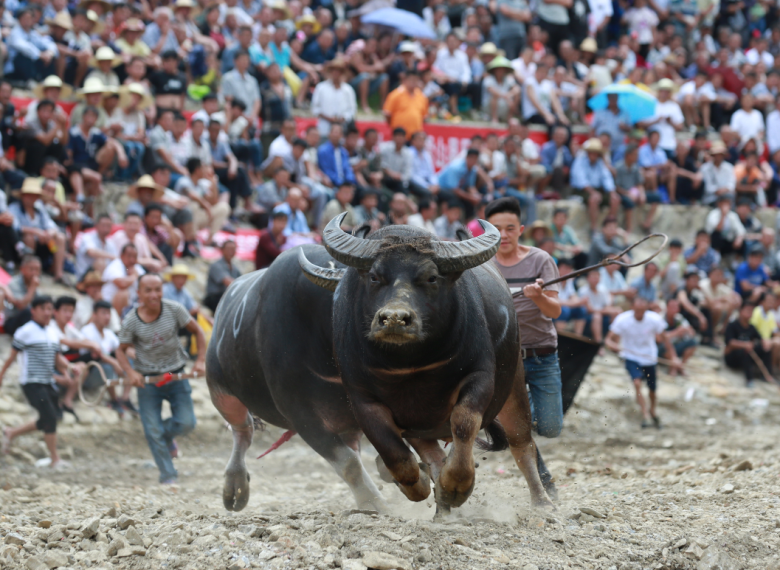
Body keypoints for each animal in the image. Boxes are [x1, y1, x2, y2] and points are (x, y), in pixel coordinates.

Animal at [204, 216, 552, 510]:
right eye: (373, 277)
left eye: (432, 277)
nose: (393, 319)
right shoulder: (313, 413)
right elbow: (360, 460)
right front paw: (379, 501)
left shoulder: (477, 377)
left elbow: (464, 423)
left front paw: (454, 485)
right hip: (219, 389)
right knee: (242, 428)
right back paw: (235, 488)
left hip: (513, 385)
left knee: (521, 442)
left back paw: (541, 505)